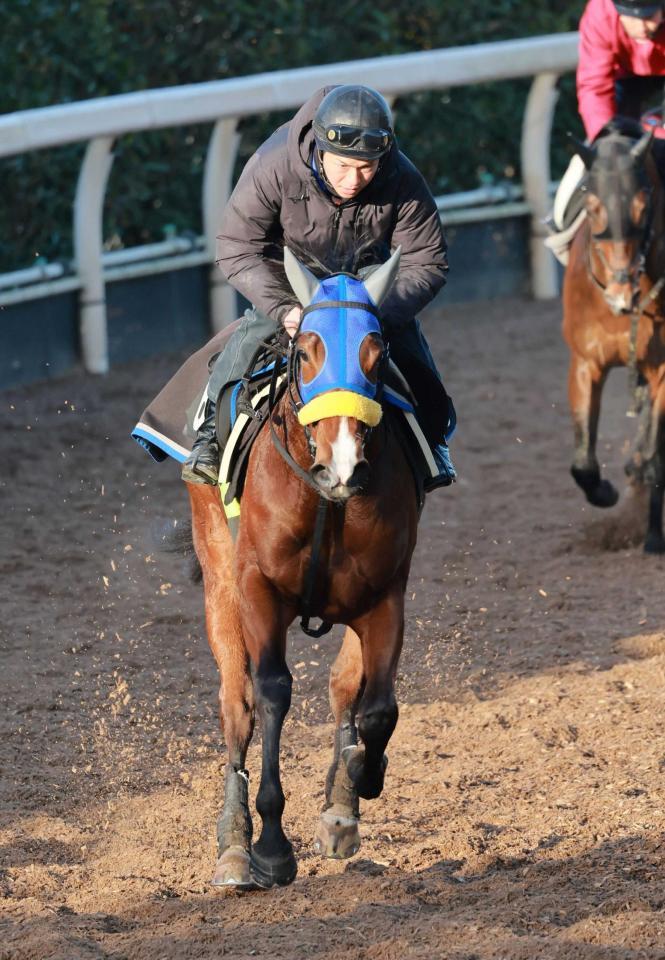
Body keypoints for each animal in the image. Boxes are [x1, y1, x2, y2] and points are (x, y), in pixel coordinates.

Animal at [185, 246, 420, 884]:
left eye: (376, 353)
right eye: (309, 348)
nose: (341, 465)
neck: (325, 501)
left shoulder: (385, 595)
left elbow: (377, 709)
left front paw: (357, 782)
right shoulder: (257, 590)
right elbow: (271, 694)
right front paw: (270, 844)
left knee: (345, 687)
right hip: (219, 584)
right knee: (235, 704)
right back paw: (234, 843)